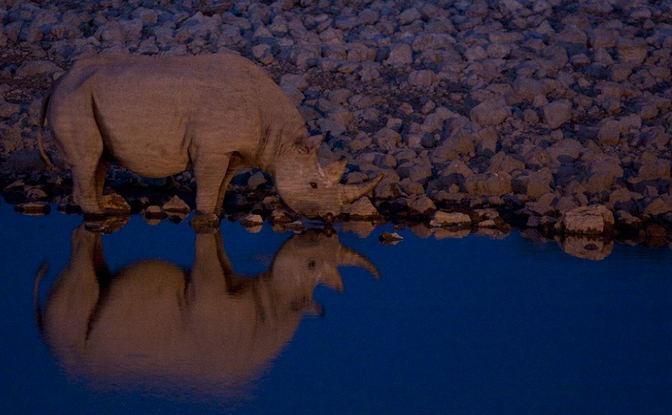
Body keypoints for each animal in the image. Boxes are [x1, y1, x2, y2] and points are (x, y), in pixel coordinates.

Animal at [35, 225, 378, 396]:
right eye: (310, 263)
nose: (323, 231)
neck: (274, 307)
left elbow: (220, 255)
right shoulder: (207, 292)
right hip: (67, 329)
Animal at [41, 53, 381, 225]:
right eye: (312, 185)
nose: (330, 216)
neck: (281, 141)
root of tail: (61, 79)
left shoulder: (232, 152)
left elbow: (221, 185)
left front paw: (216, 212)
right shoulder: (212, 149)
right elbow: (208, 184)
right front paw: (206, 218)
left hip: (82, 95)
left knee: (99, 158)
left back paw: (110, 210)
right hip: (73, 98)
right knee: (88, 158)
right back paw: (97, 216)